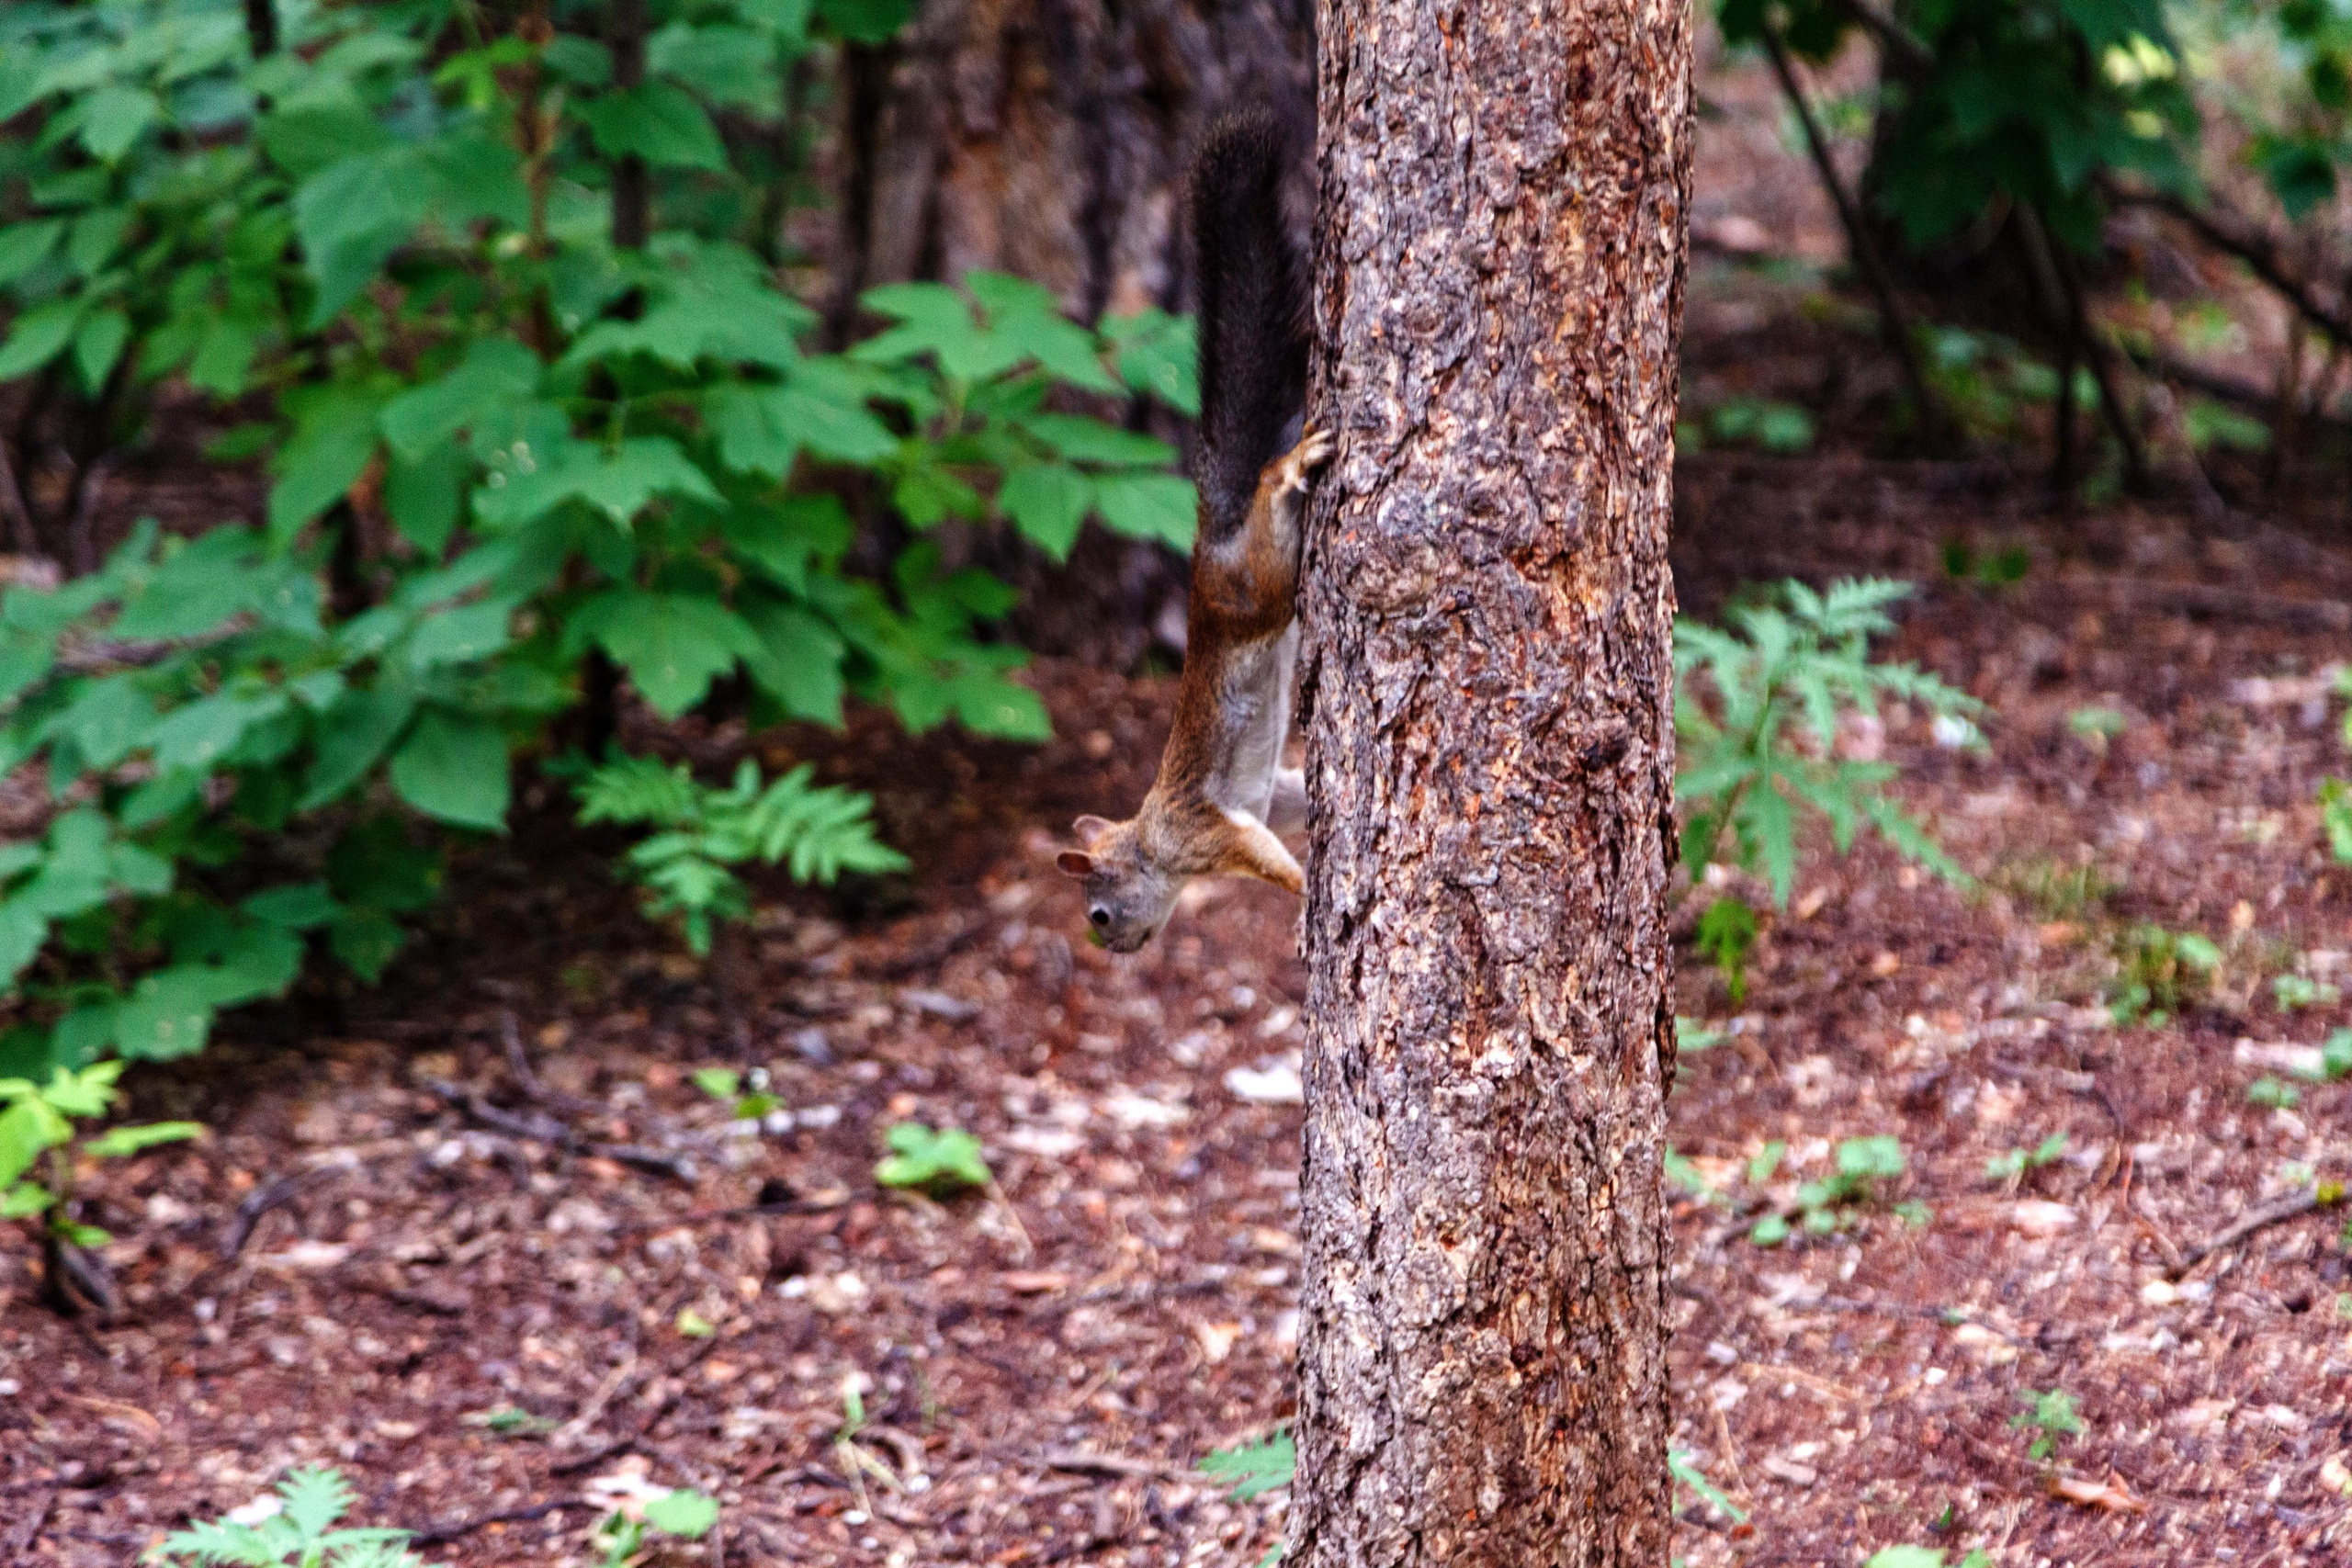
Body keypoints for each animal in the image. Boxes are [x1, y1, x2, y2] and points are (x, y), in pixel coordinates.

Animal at [1055, 109, 1332, 953]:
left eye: (1100, 912)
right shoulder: (1260, 800)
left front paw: (1304, 896)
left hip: (1255, 585)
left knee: (1270, 503)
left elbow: (1267, 862)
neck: (1152, 841)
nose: (1113, 949)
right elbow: (1285, 804)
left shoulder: (1202, 833)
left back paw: (1290, 465)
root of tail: (1213, 539)